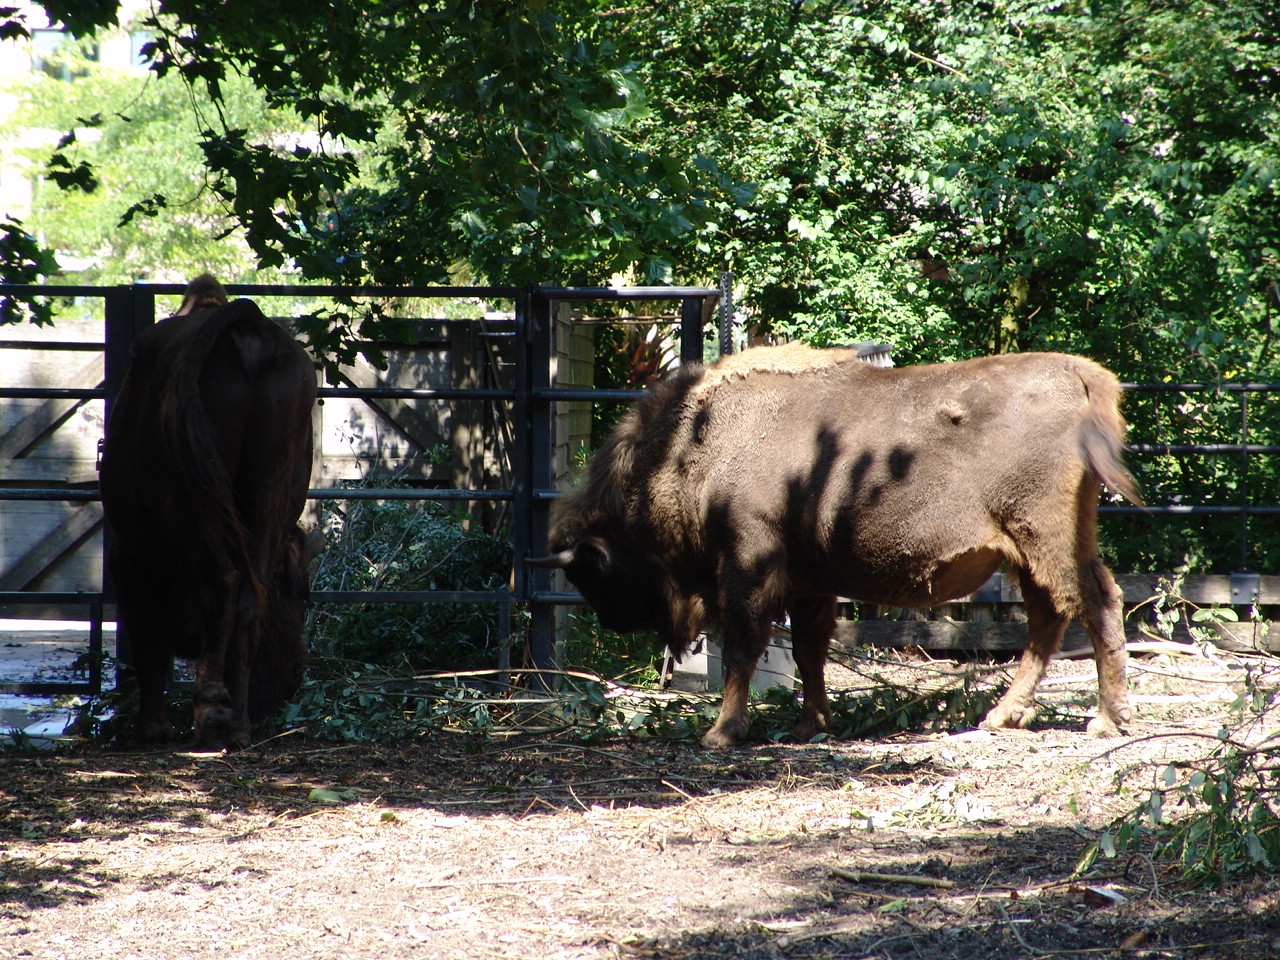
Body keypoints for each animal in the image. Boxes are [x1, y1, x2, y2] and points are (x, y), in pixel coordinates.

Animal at [99, 275, 318, 749]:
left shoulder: (130, 560)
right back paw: (237, 726)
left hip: (187, 509)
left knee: (222, 582)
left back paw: (211, 709)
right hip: (267, 496)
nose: (293, 677)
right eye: (301, 593)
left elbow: (149, 646)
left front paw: (153, 728)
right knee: (247, 600)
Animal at [539, 343, 1141, 748]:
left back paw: (1104, 719)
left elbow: (742, 647)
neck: (693, 446)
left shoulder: (749, 569)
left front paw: (723, 731)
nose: (613, 622)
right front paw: (810, 723)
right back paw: (1003, 716)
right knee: (1051, 618)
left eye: (596, 571)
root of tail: (1081, 374)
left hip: (1044, 536)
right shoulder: (811, 585)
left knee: (1093, 604)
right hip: (1036, 549)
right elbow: (809, 652)